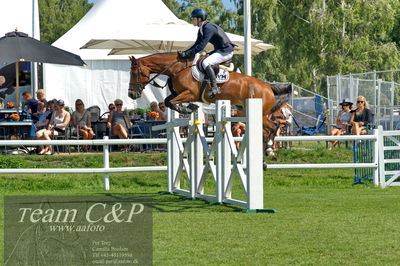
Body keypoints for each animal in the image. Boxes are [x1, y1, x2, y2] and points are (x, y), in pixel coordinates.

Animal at [128, 51, 290, 147]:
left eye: (134, 73)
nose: (131, 94)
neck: (178, 68)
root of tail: (268, 87)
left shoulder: (190, 93)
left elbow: (173, 102)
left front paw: (188, 108)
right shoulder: (178, 93)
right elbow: (168, 101)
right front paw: (188, 108)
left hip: (258, 112)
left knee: (274, 126)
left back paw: (269, 149)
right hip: (244, 111)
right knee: (269, 128)